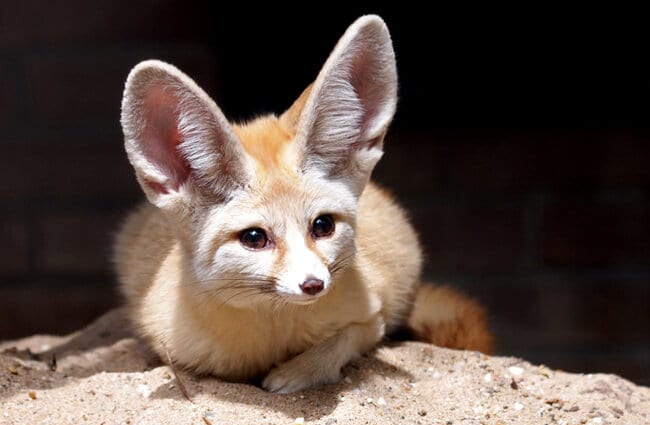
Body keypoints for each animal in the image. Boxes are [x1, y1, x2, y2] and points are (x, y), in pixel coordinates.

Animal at [114, 15, 493, 394]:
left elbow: (342, 341)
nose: (313, 285)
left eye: (323, 226)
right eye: (254, 238)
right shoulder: (172, 346)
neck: (274, 333)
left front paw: (294, 373)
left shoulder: (373, 316)